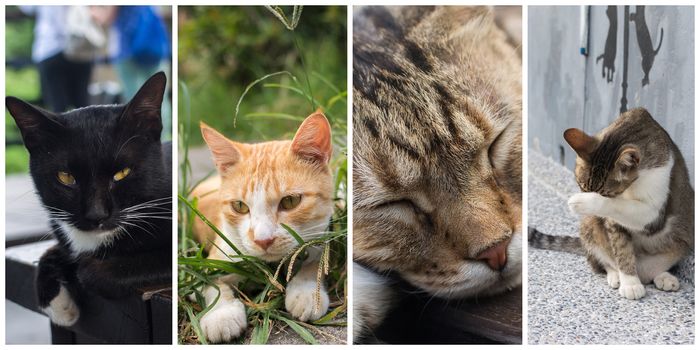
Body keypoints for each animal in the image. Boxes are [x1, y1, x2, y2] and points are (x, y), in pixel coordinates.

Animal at [5, 71, 172, 326]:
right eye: (66, 177)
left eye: (122, 173)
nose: (97, 214)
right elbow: (55, 250)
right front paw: (58, 305)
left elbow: (91, 271)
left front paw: (84, 269)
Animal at [191, 110, 334, 344]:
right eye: (239, 206)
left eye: (290, 201)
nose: (262, 240)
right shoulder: (213, 261)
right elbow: (211, 284)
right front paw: (221, 314)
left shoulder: (321, 236)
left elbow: (315, 262)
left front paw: (306, 293)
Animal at [532, 107, 696, 300]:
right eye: (582, 186)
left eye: (607, 194)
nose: (594, 212)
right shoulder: (613, 222)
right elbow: (621, 247)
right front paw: (630, 282)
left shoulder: (656, 212)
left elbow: (621, 207)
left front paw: (586, 201)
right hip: (588, 226)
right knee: (601, 261)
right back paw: (615, 275)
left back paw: (663, 276)